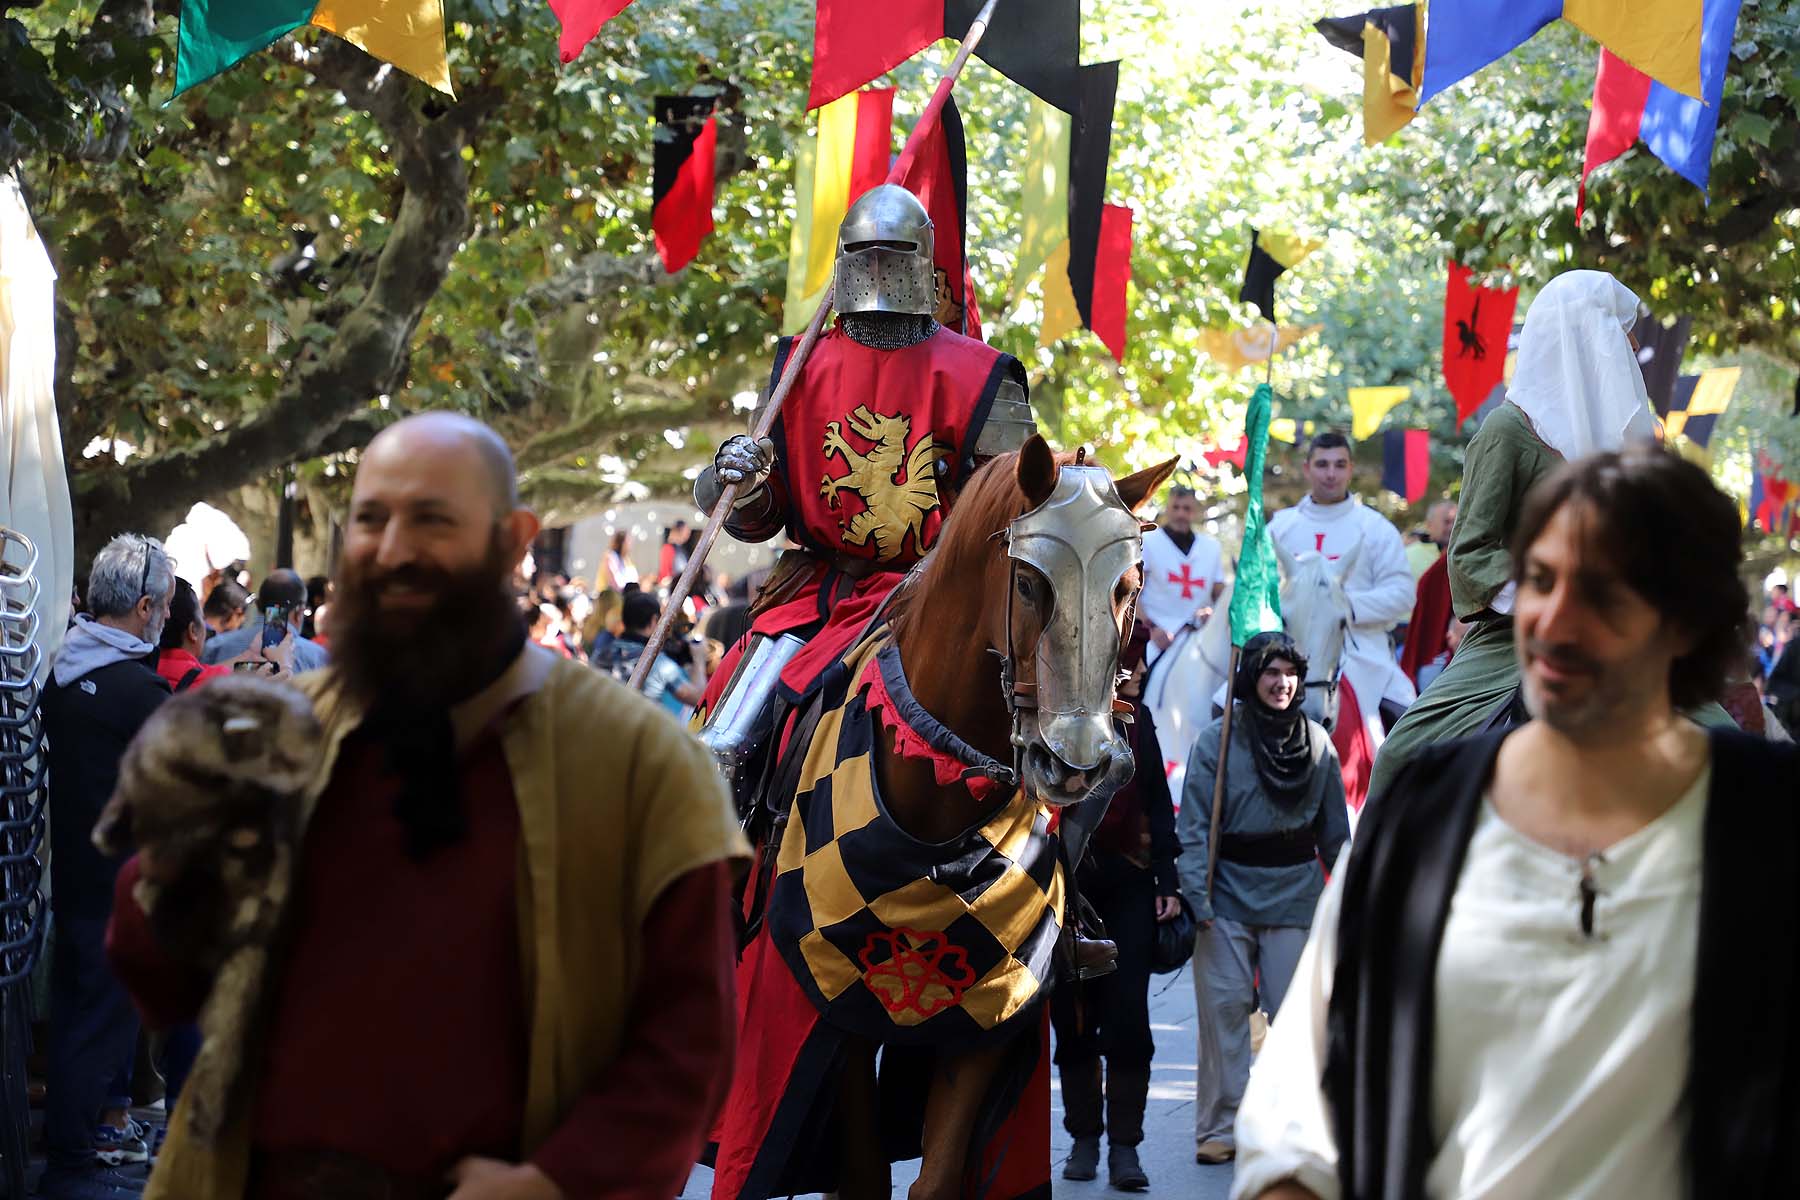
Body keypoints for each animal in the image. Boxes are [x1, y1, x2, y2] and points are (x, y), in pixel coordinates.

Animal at [806, 438, 1173, 1200]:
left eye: (1128, 587)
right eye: (1029, 585)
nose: (1078, 765)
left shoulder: (987, 1010)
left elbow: (940, 1175)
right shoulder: (835, 1006)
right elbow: (860, 1173)